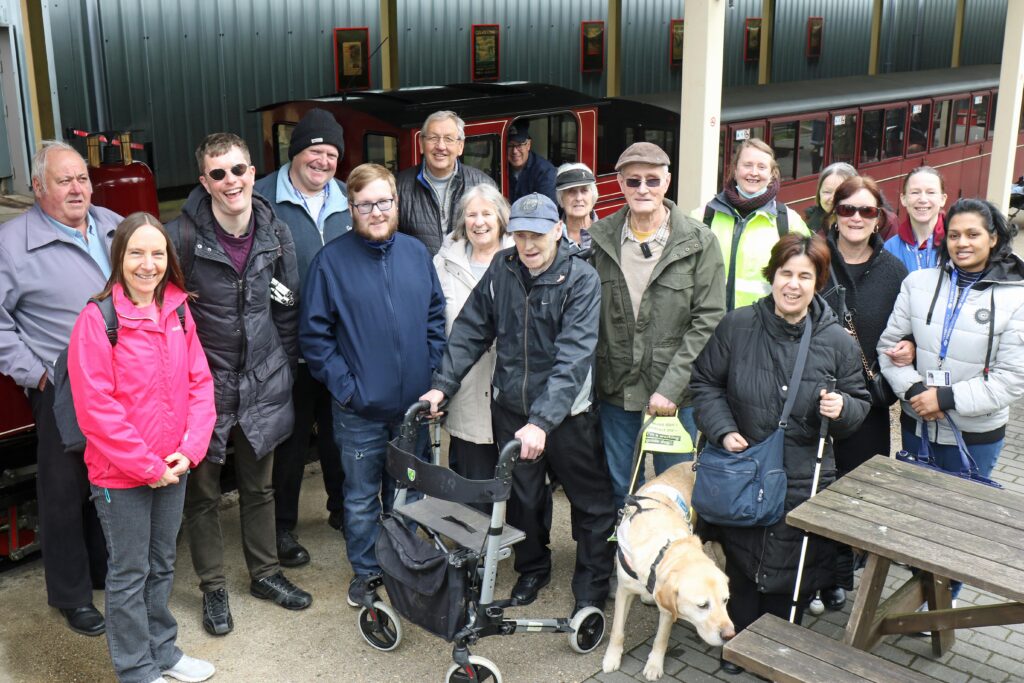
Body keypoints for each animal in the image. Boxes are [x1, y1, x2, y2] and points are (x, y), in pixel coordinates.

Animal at [598, 462, 737, 679]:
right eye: (702, 605)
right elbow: (617, 630)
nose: (729, 635)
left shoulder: (667, 607)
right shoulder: (624, 590)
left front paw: (654, 665)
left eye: (725, 601)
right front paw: (611, 658)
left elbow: (661, 638)